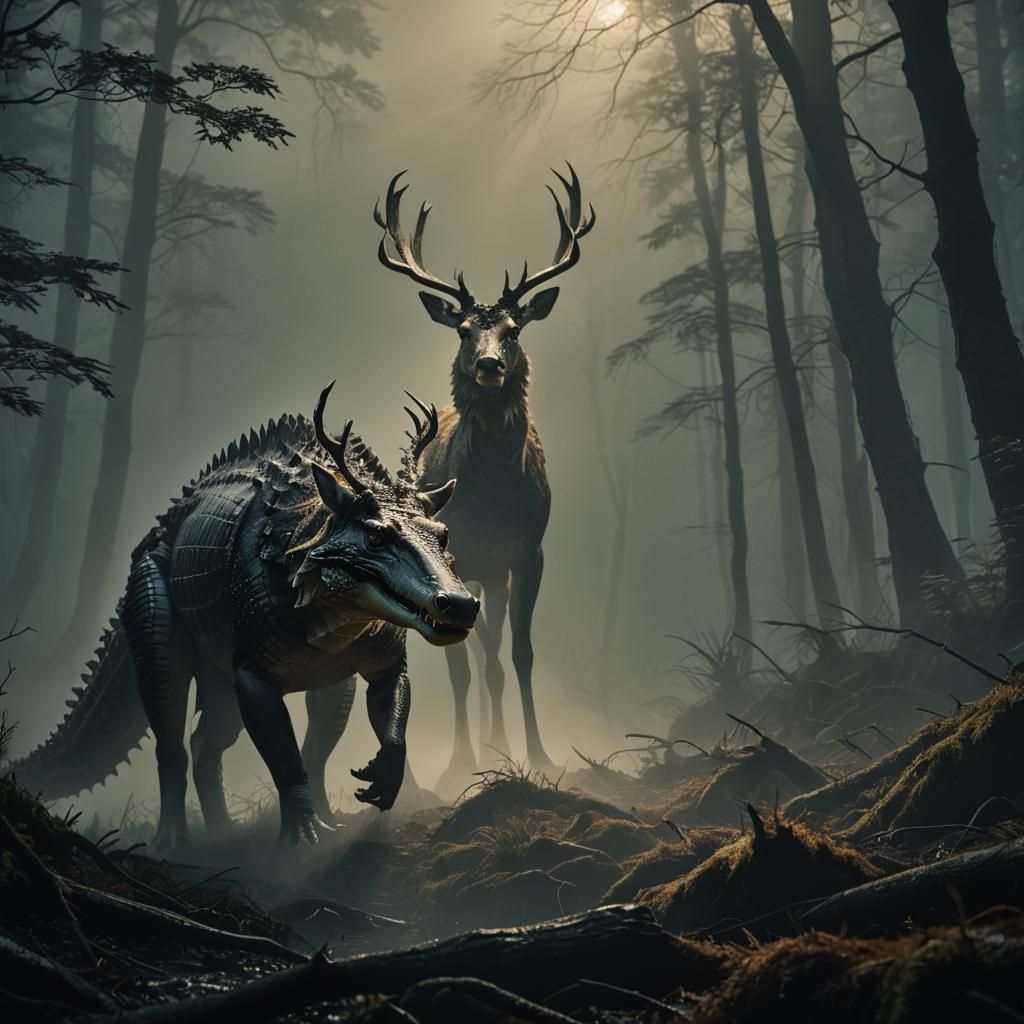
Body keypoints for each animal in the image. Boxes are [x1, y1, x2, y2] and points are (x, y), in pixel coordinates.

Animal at [371, 164, 595, 786]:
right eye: (463, 331)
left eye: (514, 329)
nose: (490, 365)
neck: (493, 498)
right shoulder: (459, 555)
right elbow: (461, 668)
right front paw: (459, 764)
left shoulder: (529, 551)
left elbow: (519, 654)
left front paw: (538, 753)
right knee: (477, 653)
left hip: (496, 574)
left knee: (493, 646)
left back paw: (502, 740)